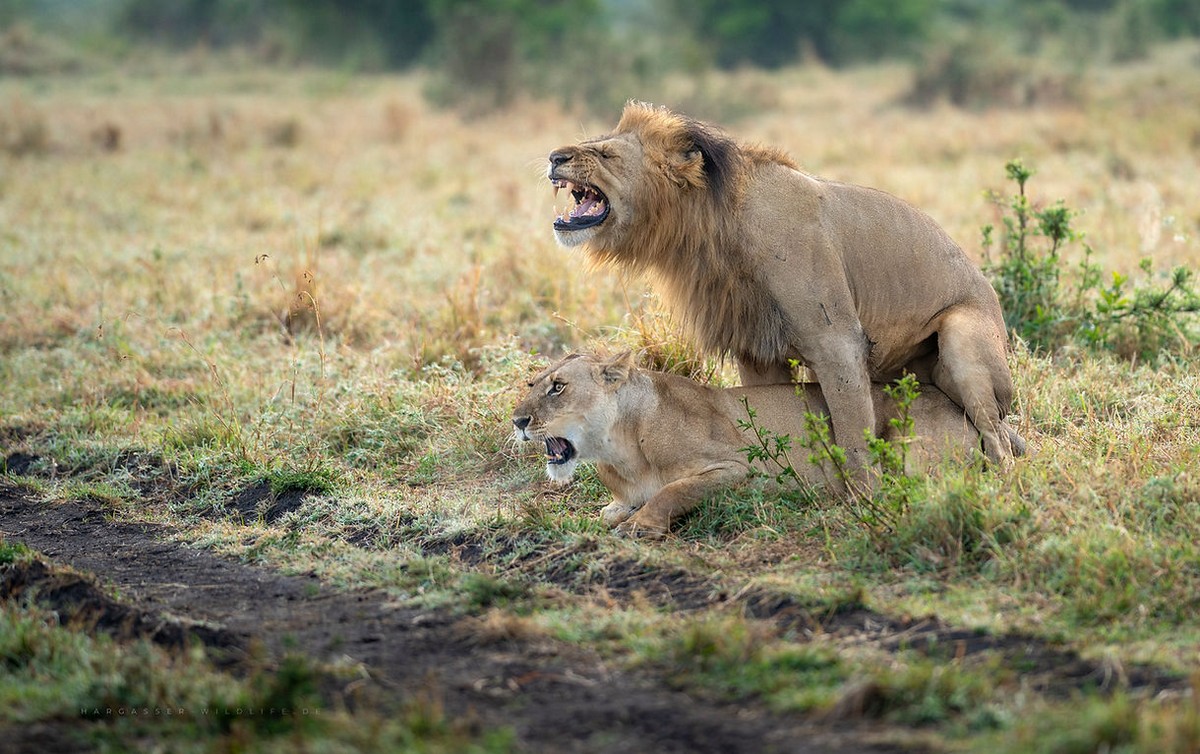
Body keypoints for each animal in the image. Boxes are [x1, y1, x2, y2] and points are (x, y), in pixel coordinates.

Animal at [508, 352, 1022, 535]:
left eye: (557, 387)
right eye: (533, 383)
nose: (517, 420)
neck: (619, 451)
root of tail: (963, 409)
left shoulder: (734, 468)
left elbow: (673, 491)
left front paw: (641, 525)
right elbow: (615, 508)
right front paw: (622, 514)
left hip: (907, 451)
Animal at [547, 101, 1022, 489]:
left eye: (606, 153)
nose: (554, 157)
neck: (712, 226)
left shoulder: (837, 342)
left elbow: (853, 435)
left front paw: (864, 500)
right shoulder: (756, 347)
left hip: (964, 338)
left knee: (996, 438)